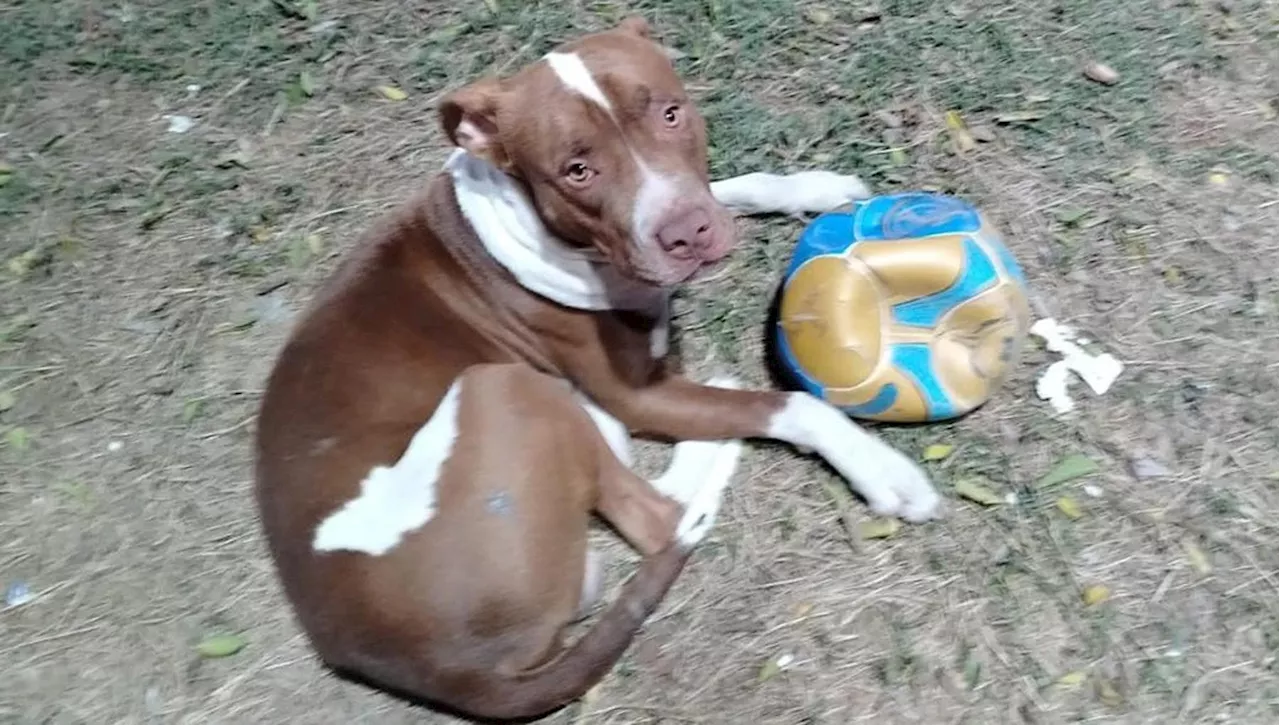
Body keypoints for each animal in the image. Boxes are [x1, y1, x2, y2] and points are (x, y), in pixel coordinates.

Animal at [252, 15, 942, 722]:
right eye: (576, 170)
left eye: (671, 113)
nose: (686, 235)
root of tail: (445, 671)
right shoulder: (636, 393)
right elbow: (794, 404)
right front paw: (881, 470)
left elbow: (726, 186)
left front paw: (809, 185)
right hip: (506, 386)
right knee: (662, 518)